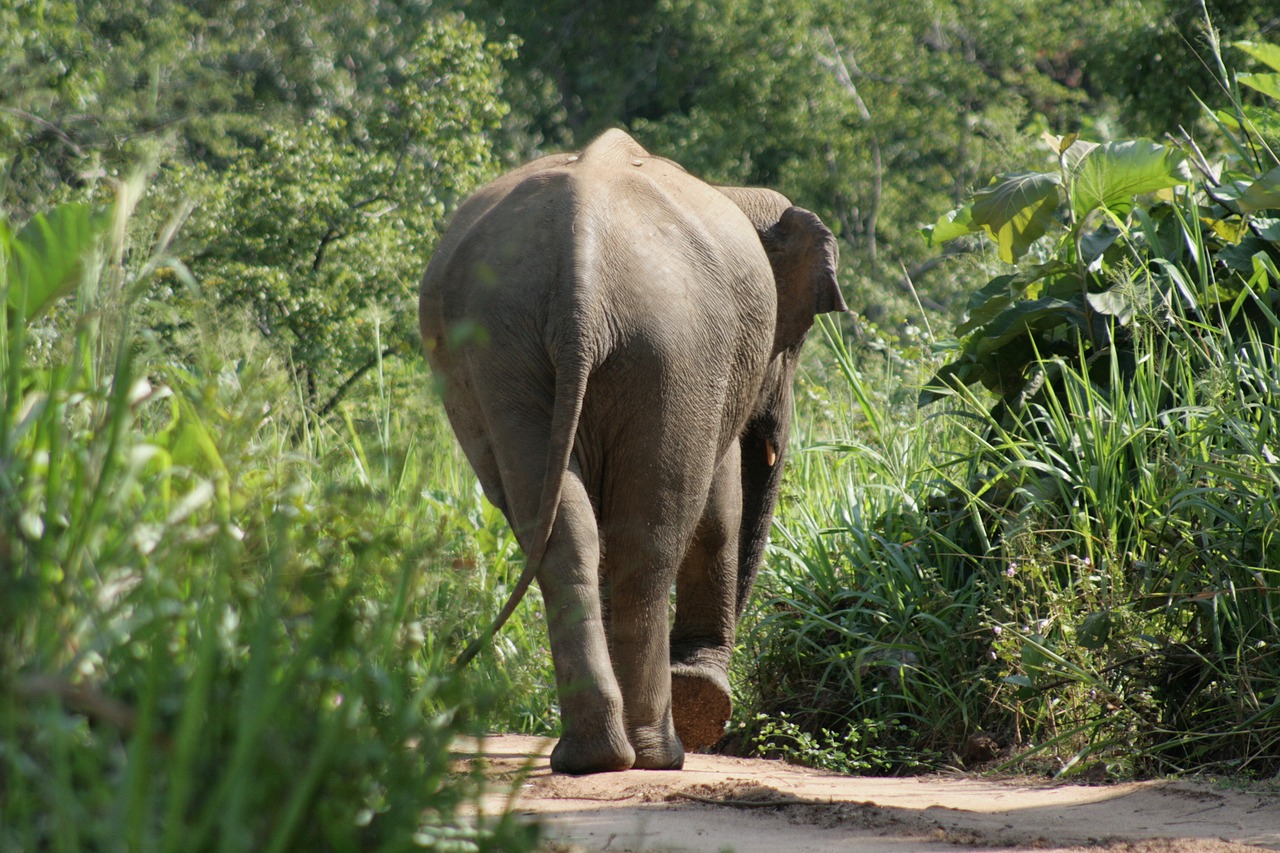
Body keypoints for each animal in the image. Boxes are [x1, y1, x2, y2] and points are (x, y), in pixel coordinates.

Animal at [414, 128, 844, 768]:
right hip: (674, 345)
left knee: (571, 531)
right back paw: (661, 749)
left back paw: (595, 756)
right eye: (791, 342)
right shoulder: (715, 373)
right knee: (651, 534)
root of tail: (581, 269)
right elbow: (720, 509)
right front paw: (701, 694)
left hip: (509, 348)